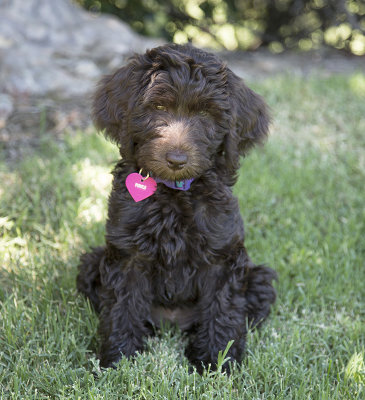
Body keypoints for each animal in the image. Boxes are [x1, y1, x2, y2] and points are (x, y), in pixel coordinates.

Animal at [77, 44, 276, 376]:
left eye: (206, 114)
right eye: (158, 107)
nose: (176, 159)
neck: (174, 193)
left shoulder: (223, 256)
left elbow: (222, 309)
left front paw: (216, 362)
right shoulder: (127, 254)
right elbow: (122, 306)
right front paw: (118, 359)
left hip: (258, 278)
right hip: (92, 264)